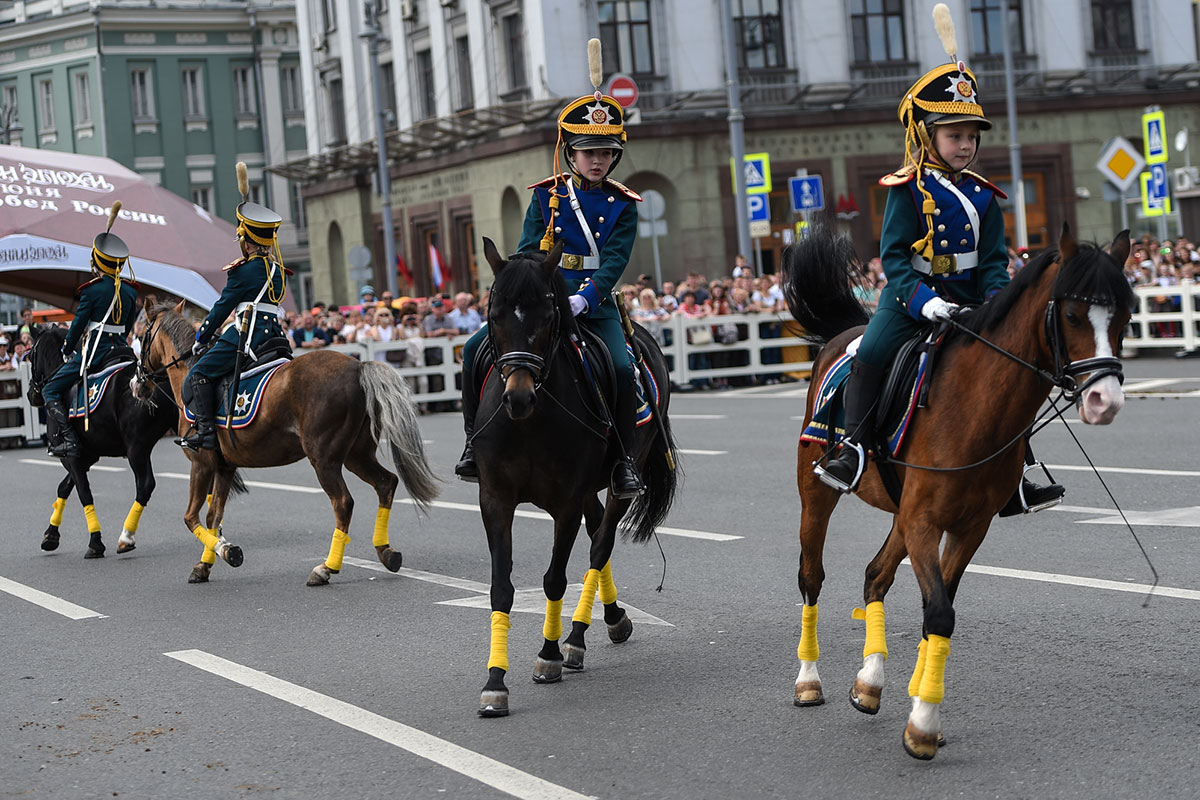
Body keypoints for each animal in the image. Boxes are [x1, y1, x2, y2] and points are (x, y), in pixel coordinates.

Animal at [27, 321, 176, 561]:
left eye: (30, 354)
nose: (32, 394)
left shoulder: (72, 457)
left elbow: (84, 493)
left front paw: (95, 541)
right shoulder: (85, 456)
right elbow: (64, 487)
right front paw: (51, 535)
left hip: (137, 448)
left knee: (145, 485)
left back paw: (126, 537)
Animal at [137, 303, 436, 585]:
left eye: (141, 336)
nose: (136, 383)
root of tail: (357, 366)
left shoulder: (201, 463)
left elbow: (191, 517)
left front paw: (227, 552)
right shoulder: (224, 467)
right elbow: (213, 517)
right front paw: (206, 563)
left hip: (324, 459)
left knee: (343, 502)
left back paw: (326, 568)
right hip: (356, 455)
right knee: (386, 483)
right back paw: (385, 551)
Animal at [470, 239, 676, 719]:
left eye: (548, 317)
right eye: (494, 315)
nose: (518, 397)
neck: (529, 423)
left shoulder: (564, 503)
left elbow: (554, 579)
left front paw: (547, 655)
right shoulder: (495, 500)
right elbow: (501, 588)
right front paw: (495, 682)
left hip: (619, 480)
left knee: (600, 545)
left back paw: (578, 638)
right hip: (586, 492)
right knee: (597, 529)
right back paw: (613, 618)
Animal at [782, 224, 1128, 758]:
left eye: (1125, 314)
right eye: (1071, 314)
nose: (1103, 400)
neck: (974, 405)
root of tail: (844, 336)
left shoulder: (967, 526)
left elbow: (935, 611)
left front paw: (919, 708)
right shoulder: (925, 522)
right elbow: (939, 612)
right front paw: (923, 725)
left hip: (901, 514)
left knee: (876, 575)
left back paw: (869, 682)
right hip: (816, 494)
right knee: (811, 577)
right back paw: (808, 681)